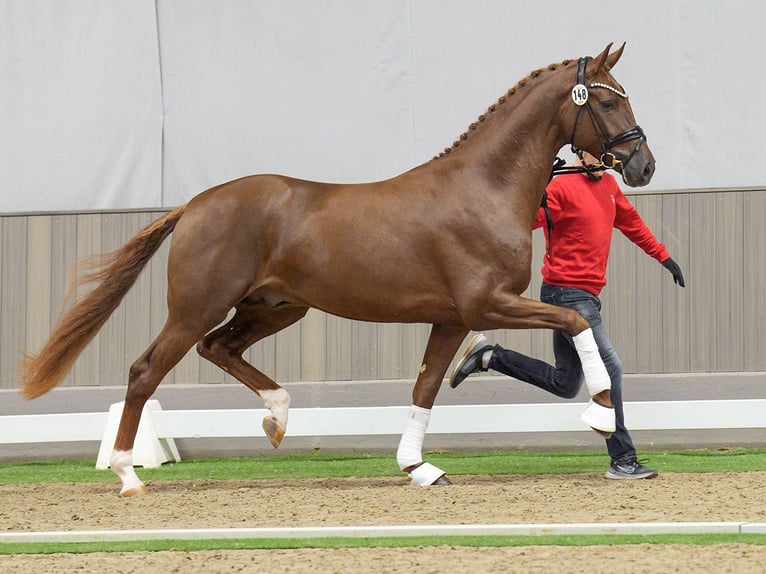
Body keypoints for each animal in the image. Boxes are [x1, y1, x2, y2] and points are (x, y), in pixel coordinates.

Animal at [19, 45, 656, 498]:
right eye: (607, 102)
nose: (644, 165)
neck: (485, 188)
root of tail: (195, 204)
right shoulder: (487, 304)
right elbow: (576, 324)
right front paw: (601, 414)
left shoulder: (452, 319)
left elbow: (426, 386)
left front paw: (419, 468)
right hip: (197, 307)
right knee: (146, 369)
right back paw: (128, 475)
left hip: (278, 307)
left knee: (219, 348)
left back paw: (277, 418)